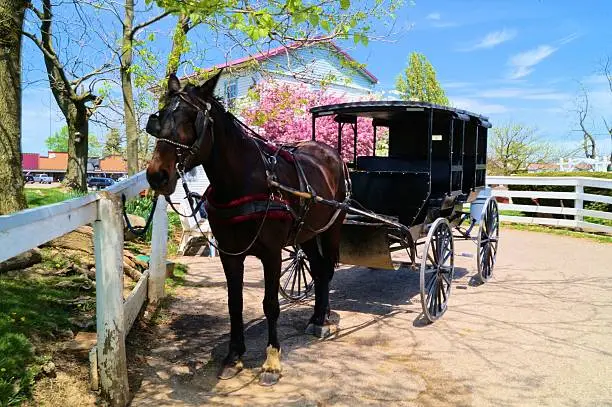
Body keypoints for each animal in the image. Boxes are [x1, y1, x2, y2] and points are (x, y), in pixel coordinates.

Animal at [142, 71, 350, 388]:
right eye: (160, 116)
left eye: (192, 118)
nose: (157, 176)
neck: (246, 181)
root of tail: (329, 152)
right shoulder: (231, 254)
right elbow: (235, 303)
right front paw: (234, 356)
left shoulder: (272, 254)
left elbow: (270, 304)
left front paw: (272, 362)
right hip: (308, 233)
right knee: (317, 268)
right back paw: (316, 318)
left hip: (331, 228)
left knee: (325, 269)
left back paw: (323, 321)